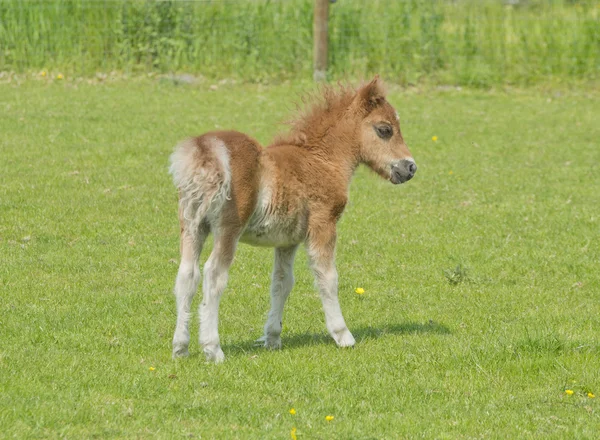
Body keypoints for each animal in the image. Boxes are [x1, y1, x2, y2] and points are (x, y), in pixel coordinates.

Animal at [170, 77, 418, 362]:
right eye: (384, 130)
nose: (410, 167)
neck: (322, 159)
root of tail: (205, 151)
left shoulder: (287, 241)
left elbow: (282, 282)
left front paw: (272, 338)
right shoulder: (323, 225)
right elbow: (328, 278)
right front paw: (343, 335)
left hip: (192, 226)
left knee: (187, 275)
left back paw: (180, 348)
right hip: (228, 228)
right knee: (214, 275)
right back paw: (213, 349)